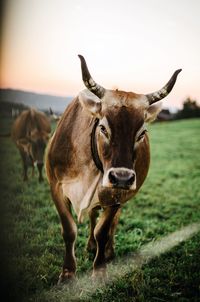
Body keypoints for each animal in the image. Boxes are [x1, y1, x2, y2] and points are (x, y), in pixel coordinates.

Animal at [45, 54, 181, 284]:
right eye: (103, 127)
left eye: (142, 133)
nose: (122, 178)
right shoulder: (55, 186)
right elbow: (69, 230)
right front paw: (67, 273)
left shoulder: (116, 195)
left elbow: (103, 230)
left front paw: (99, 270)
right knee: (93, 215)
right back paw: (91, 246)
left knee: (111, 223)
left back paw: (108, 250)